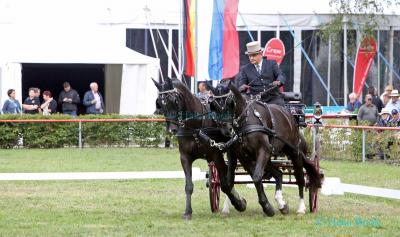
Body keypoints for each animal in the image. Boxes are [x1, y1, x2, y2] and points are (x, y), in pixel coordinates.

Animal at [153, 78, 247, 220]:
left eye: (175, 101)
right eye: (159, 103)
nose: (172, 130)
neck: (195, 127)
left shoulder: (216, 155)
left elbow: (225, 184)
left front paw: (240, 203)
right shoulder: (185, 158)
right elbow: (189, 186)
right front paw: (187, 212)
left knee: (229, 175)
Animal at [209, 82, 322, 216]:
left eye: (230, 102)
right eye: (214, 106)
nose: (226, 130)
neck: (246, 121)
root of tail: (289, 115)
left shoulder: (263, 150)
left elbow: (257, 177)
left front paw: (267, 207)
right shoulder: (240, 156)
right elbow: (231, 181)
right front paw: (237, 204)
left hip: (294, 153)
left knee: (300, 178)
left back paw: (301, 207)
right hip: (267, 157)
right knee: (278, 174)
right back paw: (281, 203)